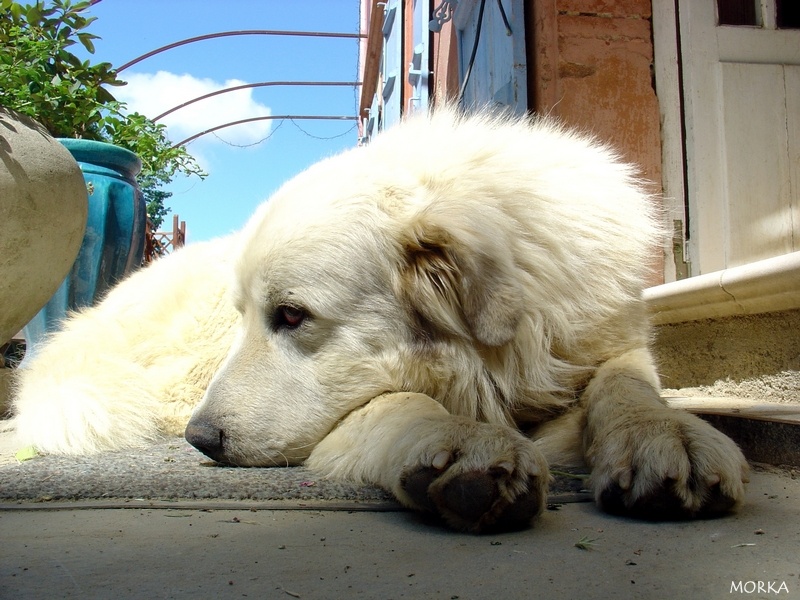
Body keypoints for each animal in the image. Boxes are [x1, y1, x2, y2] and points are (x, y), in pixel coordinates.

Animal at [10, 108, 752, 528]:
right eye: (255, 316)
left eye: (291, 315)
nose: (202, 439)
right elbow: (394, 402)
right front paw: (456, 442)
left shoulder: (610, 342)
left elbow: (627, 387)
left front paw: (665, 434)